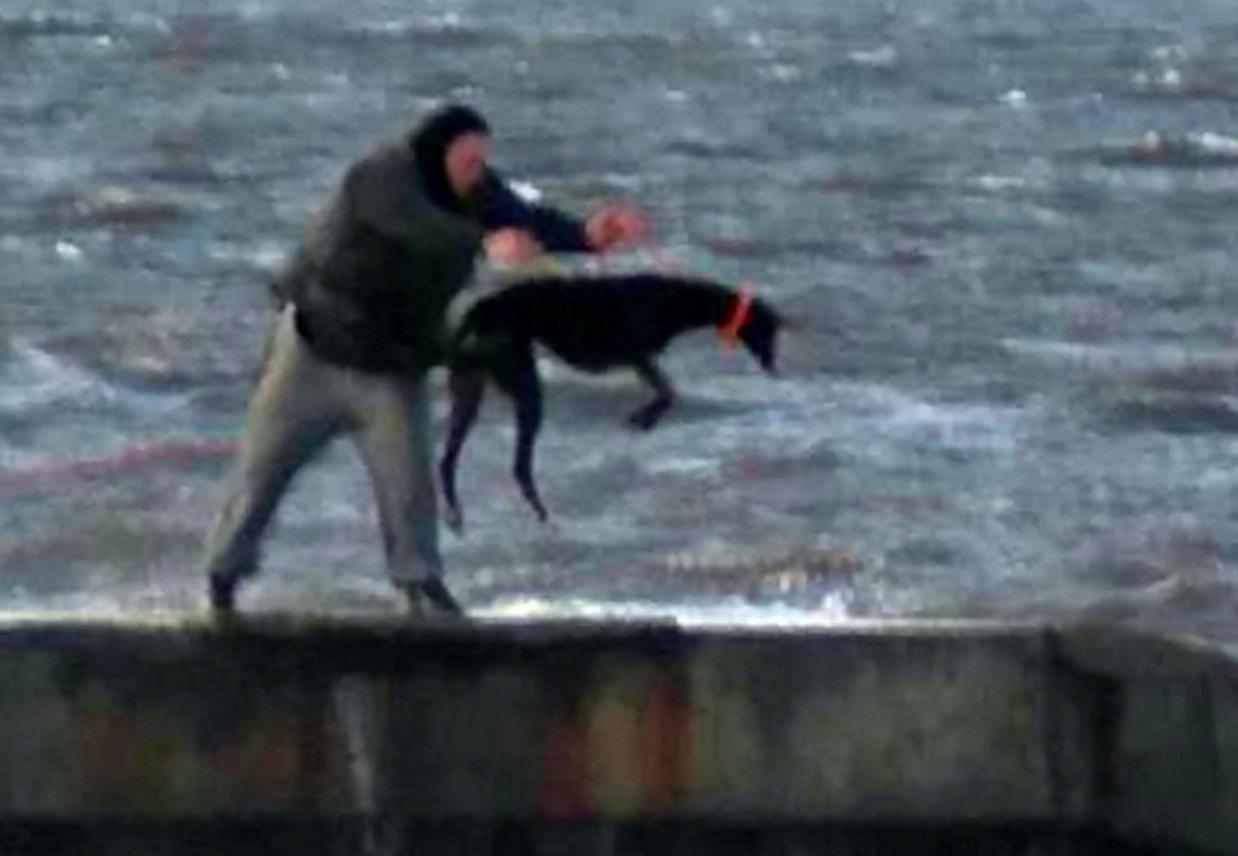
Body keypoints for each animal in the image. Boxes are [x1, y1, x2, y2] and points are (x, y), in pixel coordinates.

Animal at [440, 271, 777, 532]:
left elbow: (667, 392)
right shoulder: (638, 356)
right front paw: (644, 418)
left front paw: (644, 418)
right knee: (519, 466)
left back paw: (458, 515)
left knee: (448, 461)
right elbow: (668, 393)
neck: (676, 300)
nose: (774, 368)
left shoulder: (640, 359)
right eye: (769, 333)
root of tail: (482, 309)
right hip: (522, 385)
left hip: (470, 388)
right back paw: (544, 517)